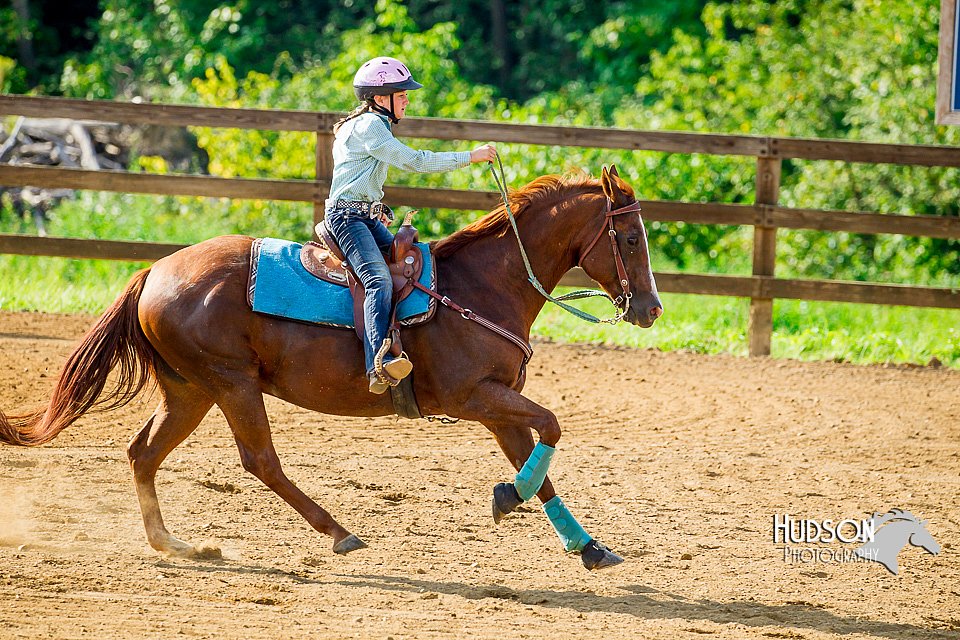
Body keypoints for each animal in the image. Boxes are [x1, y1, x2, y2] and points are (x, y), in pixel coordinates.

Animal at [0, 165, 660, 568]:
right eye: (629, 239)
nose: (651, 309)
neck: (480, 286)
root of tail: (154, 271)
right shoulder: (472, 397)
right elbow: (551, 428)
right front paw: (506, 497)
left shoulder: (498, 406)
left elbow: (538, 461)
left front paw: (587, 546)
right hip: (231, 384)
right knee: (260, 460)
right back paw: (339, 532)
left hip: (189, 390)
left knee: (144, 452)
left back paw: (175, 545)